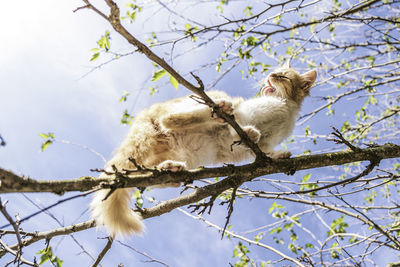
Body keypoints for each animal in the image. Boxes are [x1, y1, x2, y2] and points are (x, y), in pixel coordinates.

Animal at [90, 66, 316, 238]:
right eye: (275, 72)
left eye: (283, 76)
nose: (270, 75)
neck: (285, 108)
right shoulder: (246, 112)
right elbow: (238, 127)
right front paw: (247, 132)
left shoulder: (265, 146)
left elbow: (263, 152)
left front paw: (277, 155)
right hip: (204, 100)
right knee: (171, 118)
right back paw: (220, 111)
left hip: (185, 154)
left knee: (143, 173)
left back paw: (169, 170)